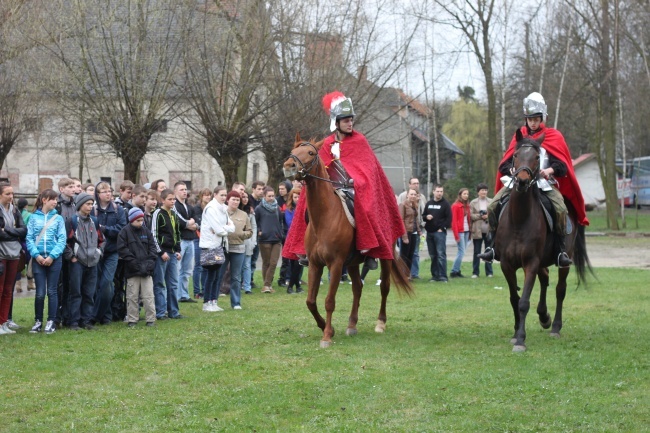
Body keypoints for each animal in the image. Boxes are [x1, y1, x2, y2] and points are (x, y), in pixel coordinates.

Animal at [280, 135, 412, 348]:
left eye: (310, 153)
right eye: (293, 151)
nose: (289, 167)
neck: (324, 218)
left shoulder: (335, 264)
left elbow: (329, 301)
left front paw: (326, 336)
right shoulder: (315, 264)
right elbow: (310, 301)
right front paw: (327, 328)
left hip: (385, 256)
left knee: (384, 287)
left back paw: (380, 323)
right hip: (352, 263)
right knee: (357, 288)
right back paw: (351, 325)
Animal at [494, 131, 588, 352]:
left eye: (537, 157)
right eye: (515, 155)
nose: (521, 181)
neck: (519, 219)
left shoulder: (531, 262)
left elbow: (524, 302)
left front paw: (521, 340)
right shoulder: (506, 264)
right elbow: (514, 298)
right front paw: (515, 333)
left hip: (564, 260)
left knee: (560, 289)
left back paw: (555, 327)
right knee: (545, 279)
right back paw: (544, 316)